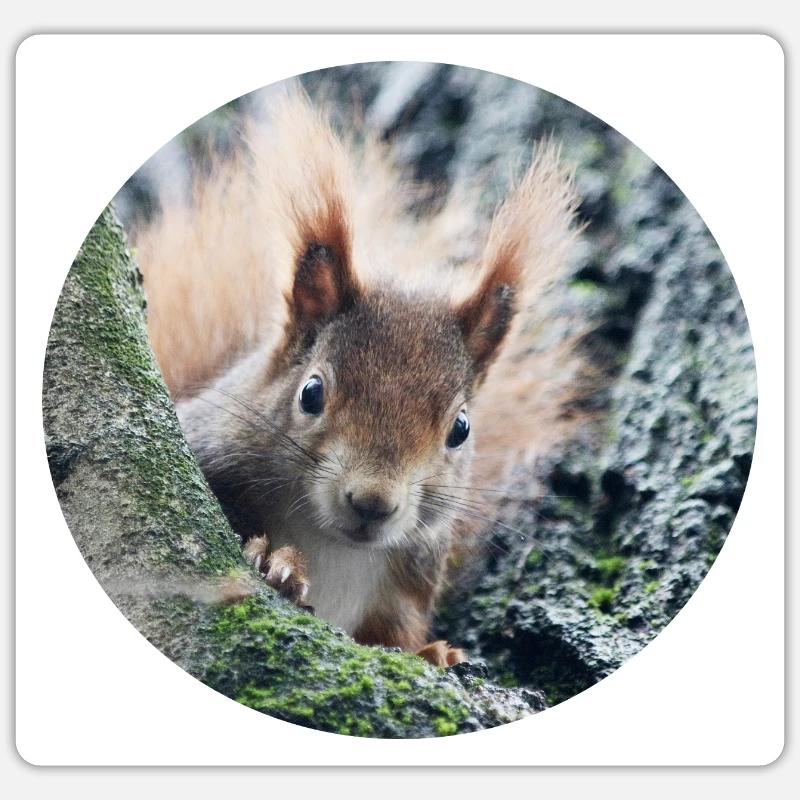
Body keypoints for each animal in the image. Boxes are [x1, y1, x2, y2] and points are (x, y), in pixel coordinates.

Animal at [131, 89, 581, 666]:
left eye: (461, 429)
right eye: (311, 393)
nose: (373, 503)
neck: (334, 548)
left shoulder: (405, 588)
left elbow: (397, 635)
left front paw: (435, 653)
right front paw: (276, 561)